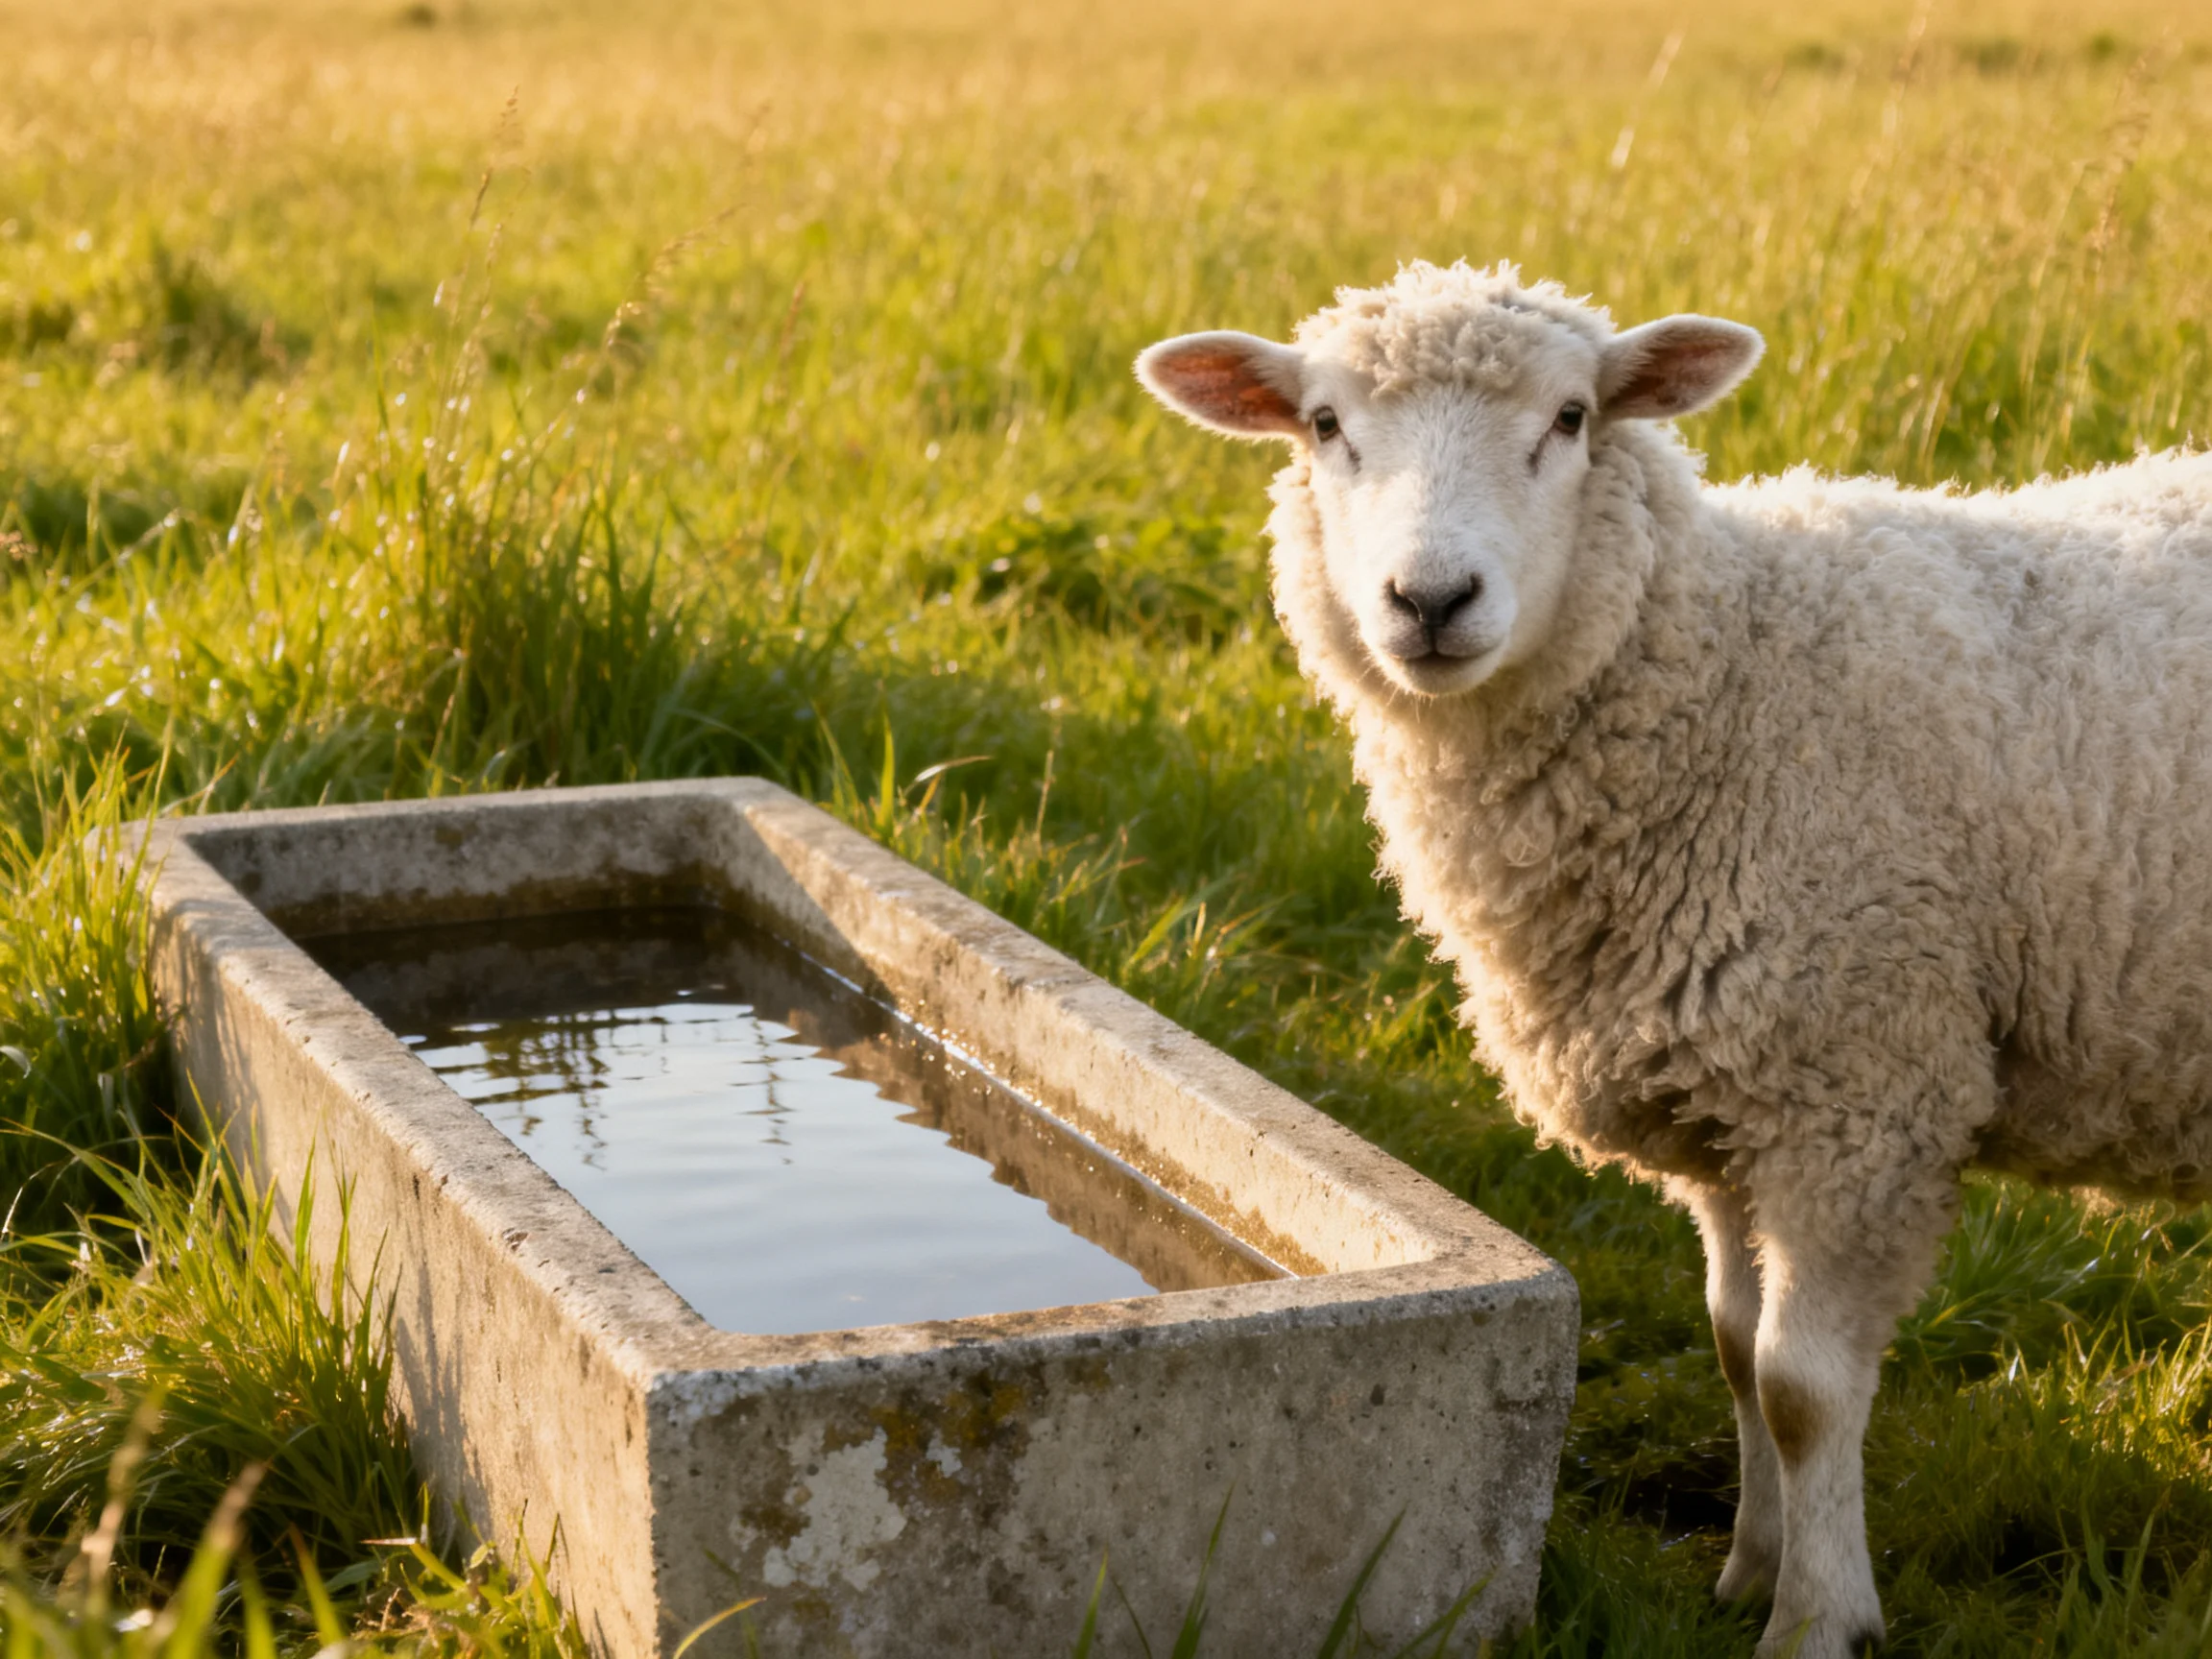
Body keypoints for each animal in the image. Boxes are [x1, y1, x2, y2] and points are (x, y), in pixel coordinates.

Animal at [1134, 259, 2212, 1659]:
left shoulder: (1855, 1092)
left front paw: (1817, 1618)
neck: (1734, 671)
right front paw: (1750, 1565)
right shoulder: (1723, 1101)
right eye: (1323, 425)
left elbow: (1803, 1386)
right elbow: (1733, 1346)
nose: (1431, 602)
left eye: (1573, 419)